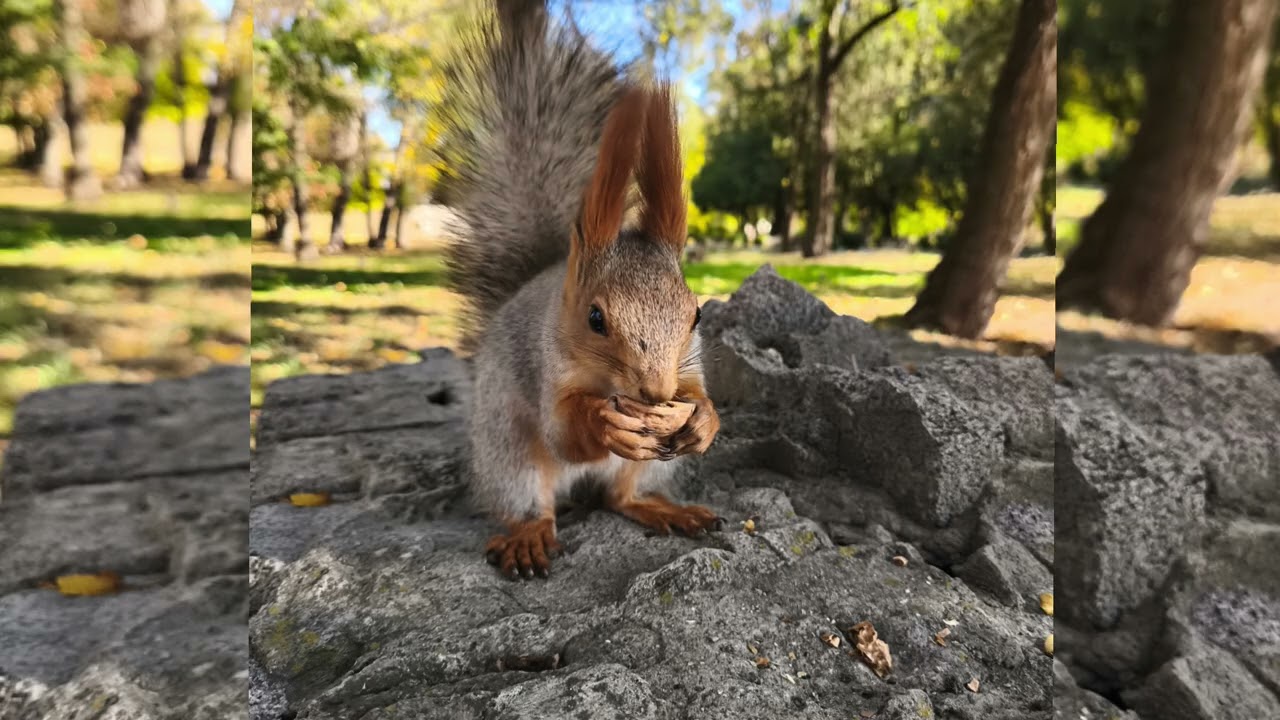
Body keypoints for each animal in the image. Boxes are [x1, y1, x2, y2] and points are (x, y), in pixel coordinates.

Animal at [440, 2, 722, 580]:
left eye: (696, 316)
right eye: (595, 319)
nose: (656, 393)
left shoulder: (692, 363)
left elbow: (700, 393)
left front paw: (703, 420)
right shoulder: (550, 369)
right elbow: (564, 432)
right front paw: (602, 420)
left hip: (645, 470)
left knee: (620, 497)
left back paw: (664, 509)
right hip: (509, 452)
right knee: (531, 501)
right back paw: (527, 536)